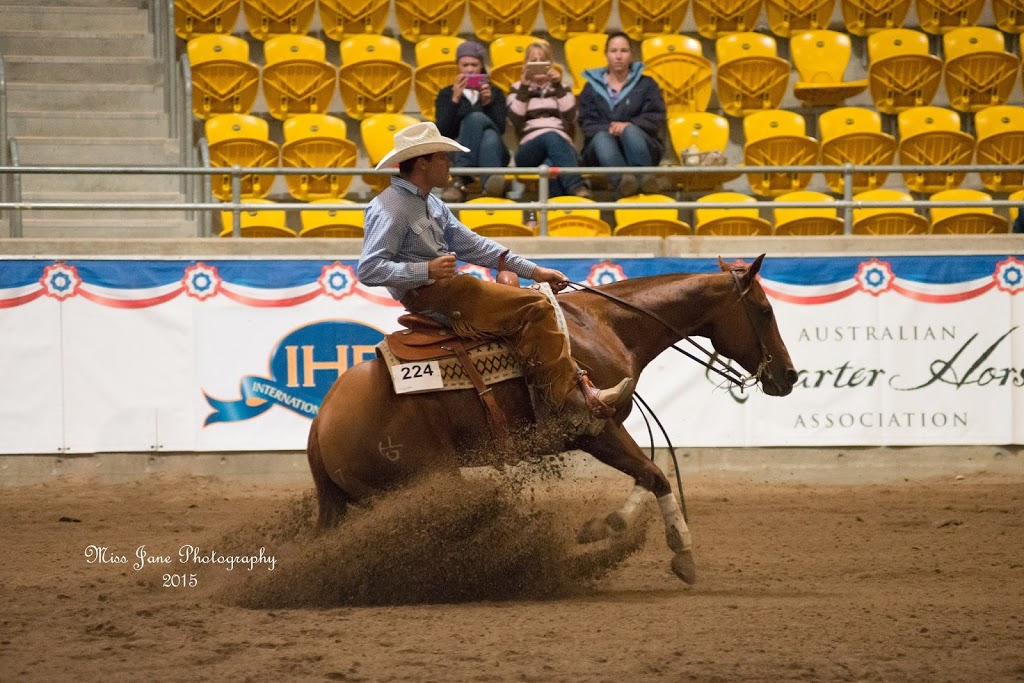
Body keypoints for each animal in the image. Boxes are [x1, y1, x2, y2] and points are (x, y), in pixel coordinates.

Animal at [307, 253, 794, 585]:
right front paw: (681, 552)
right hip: (430, 478)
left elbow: (649, 472)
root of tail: (320, 427)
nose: (789, 376)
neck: (603, 326)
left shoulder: (603, 431)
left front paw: (608, 526)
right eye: (765, 311)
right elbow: (655, 474)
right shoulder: (594, 428)